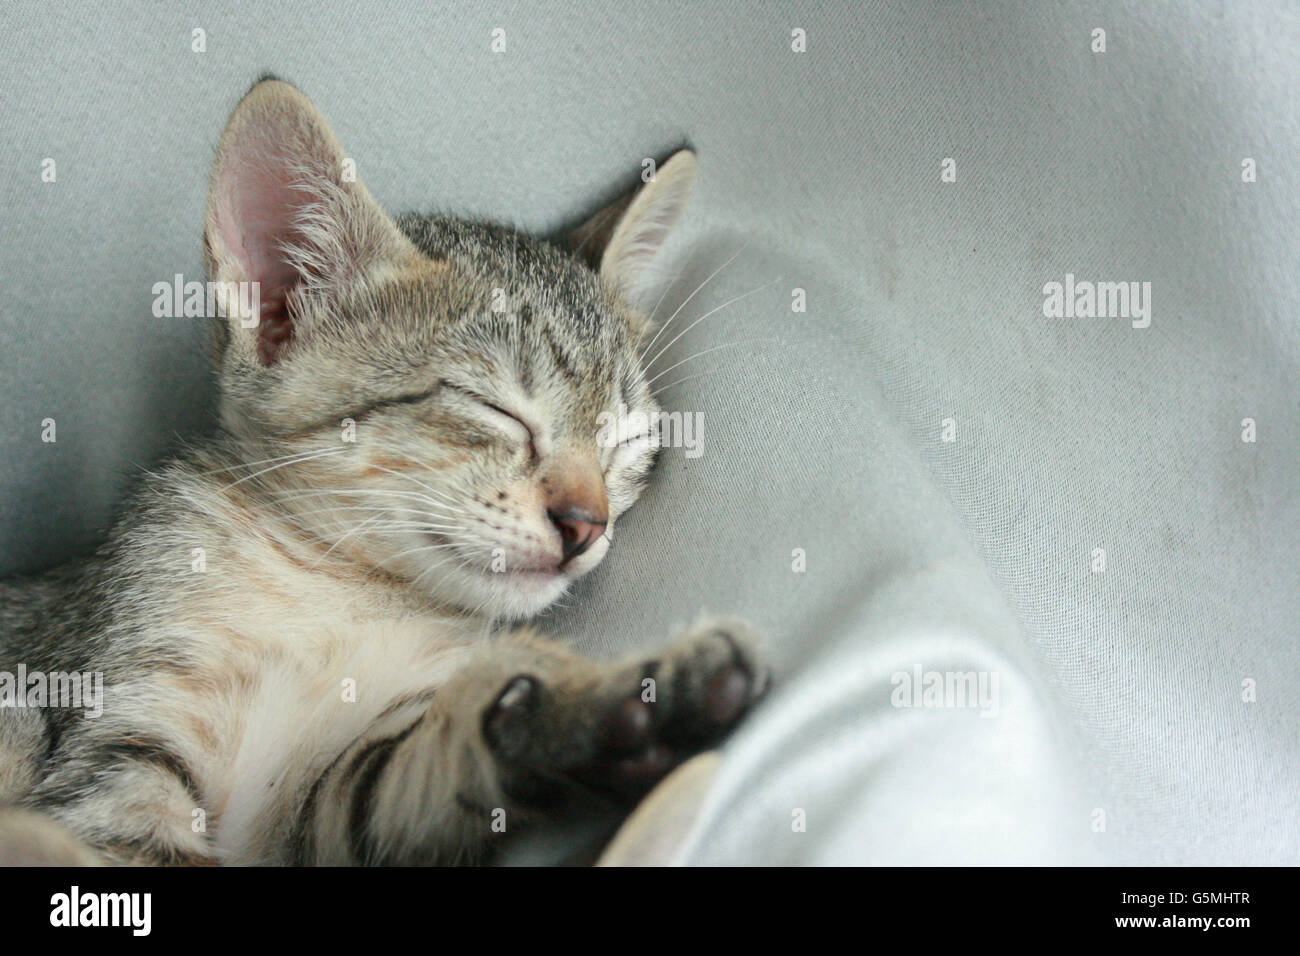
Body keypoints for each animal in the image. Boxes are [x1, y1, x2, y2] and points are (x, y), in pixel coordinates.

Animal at [0, 76, 764, 868]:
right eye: (496, 408)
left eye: (626, 439)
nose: (587, 523)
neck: (341, 588)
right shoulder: (117, 743)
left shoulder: (323, 816)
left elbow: (409, 770)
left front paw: (591, 714)